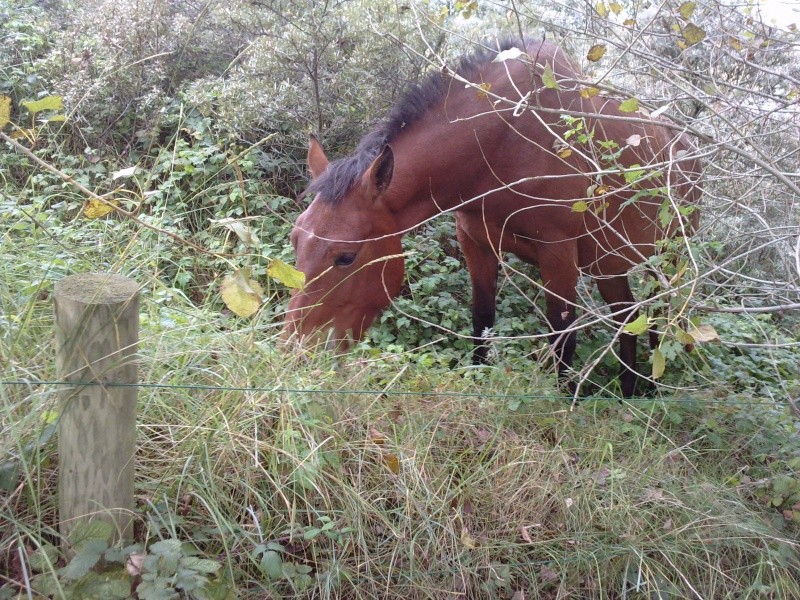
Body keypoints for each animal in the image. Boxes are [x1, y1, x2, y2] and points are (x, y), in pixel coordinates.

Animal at [282, 35, 700, 396]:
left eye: (346, 257)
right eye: (295, 238)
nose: (298, 352)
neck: (502, 142)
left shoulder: (559, 255)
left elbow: (562, 338)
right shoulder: (475, 243)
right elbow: (481, 323)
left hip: (668, 260)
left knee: (659, 319)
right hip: (608, 264)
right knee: (627, 321)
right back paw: (629, 395)